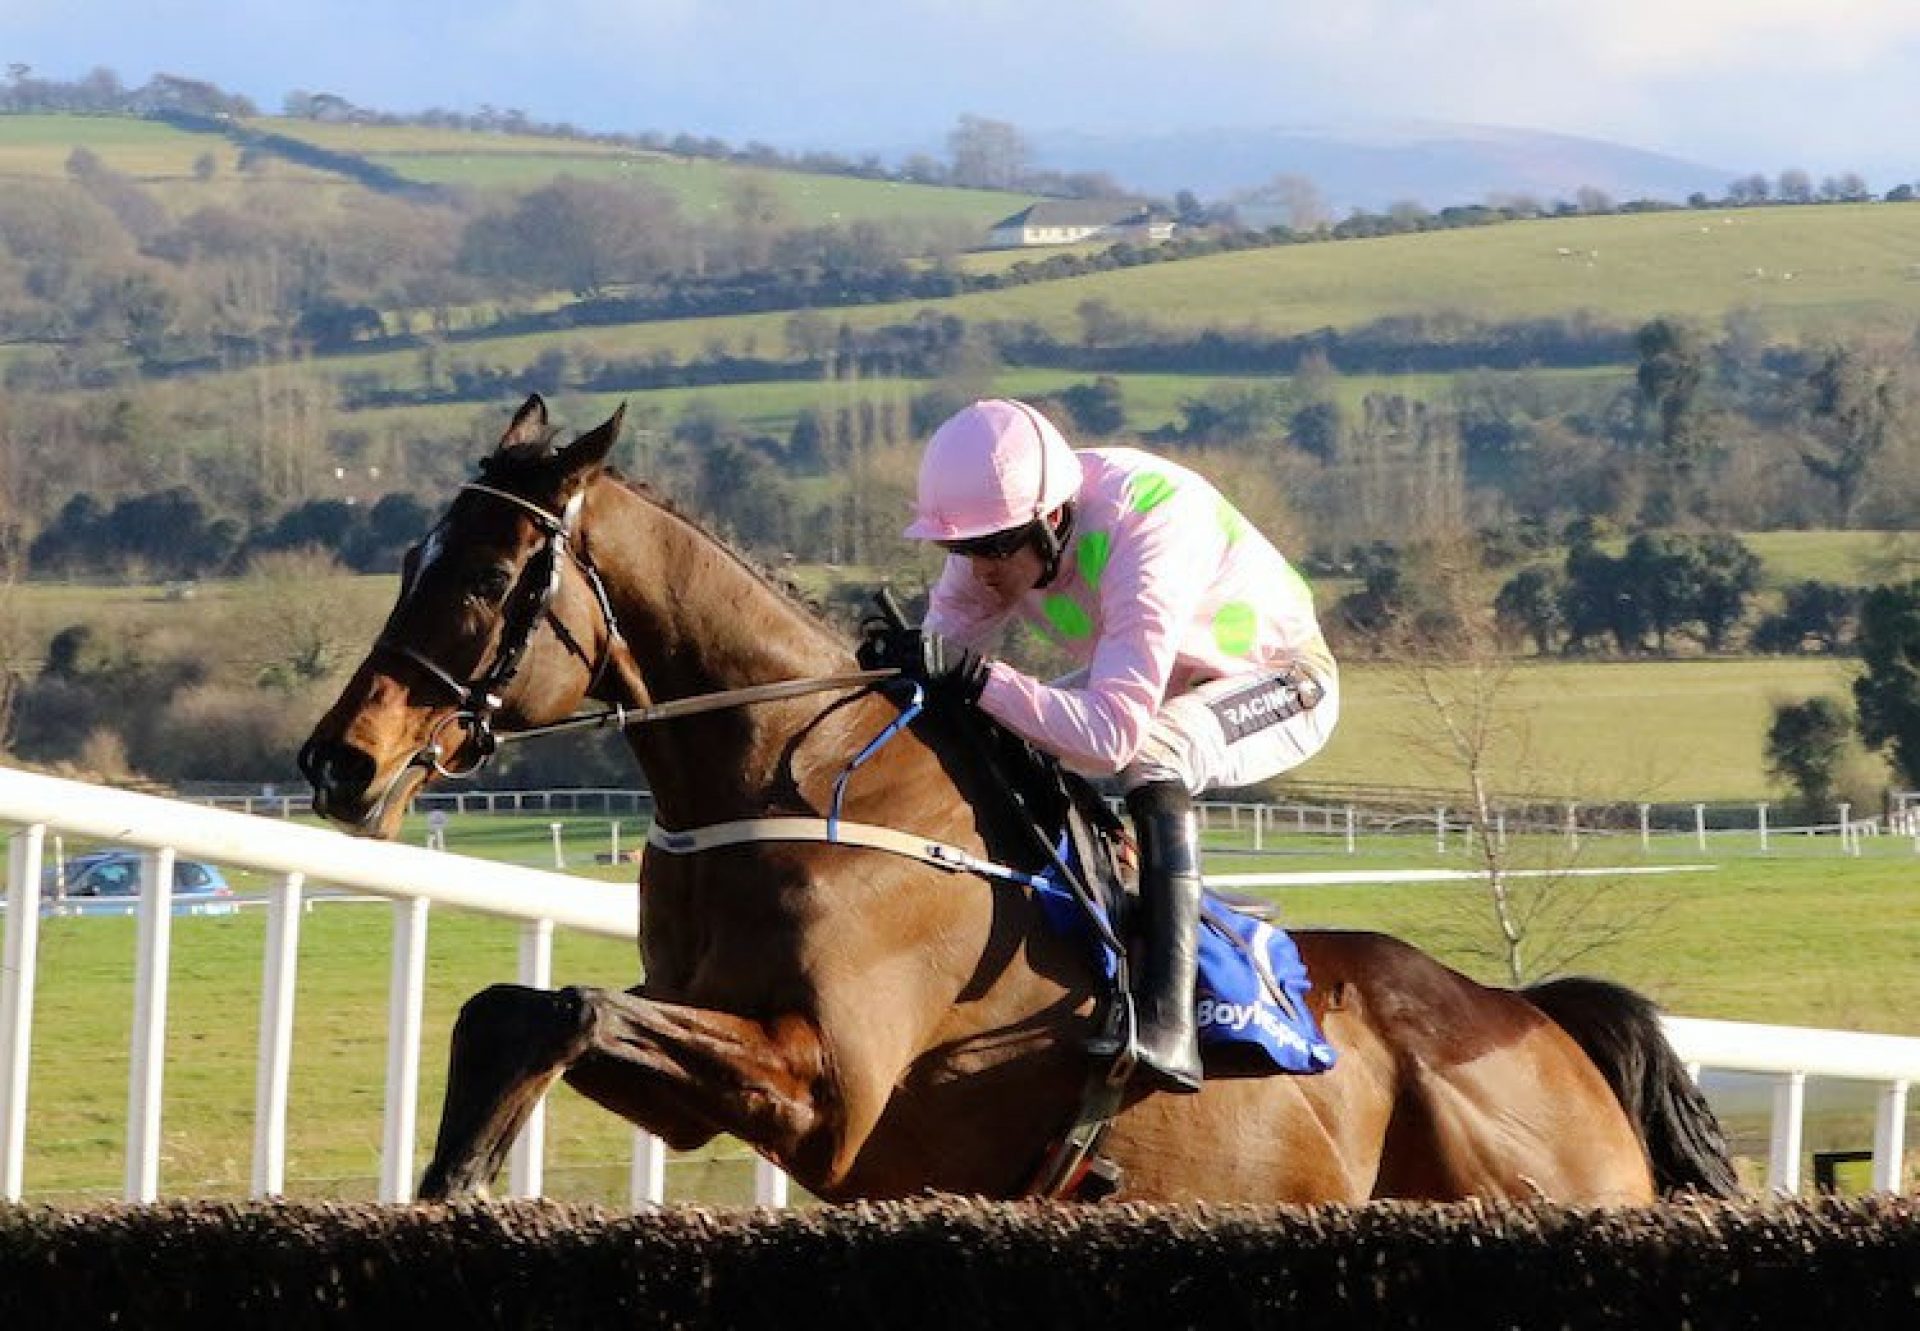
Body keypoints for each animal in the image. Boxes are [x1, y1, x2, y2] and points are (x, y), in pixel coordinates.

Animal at [299, 393, 1743, 1206]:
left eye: (487, 577)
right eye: (412, 554)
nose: (340, 760)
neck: (792, 783)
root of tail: (1535, 1017)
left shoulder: (827, 1083)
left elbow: (567, 1003)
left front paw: (463, 1175)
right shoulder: (711, 1081)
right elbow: (518, 1006)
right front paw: (451, 1174)